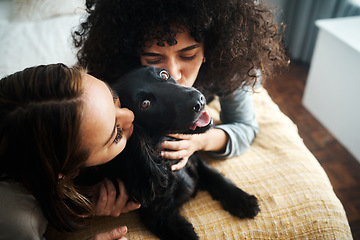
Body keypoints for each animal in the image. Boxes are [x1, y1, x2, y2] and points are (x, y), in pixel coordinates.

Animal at [80, 66, 258, 240]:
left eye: (164, 75)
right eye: (145, 104)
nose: (199, 100)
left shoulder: (193, 161)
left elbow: (217, 177)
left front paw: (242, 200)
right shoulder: (159, 217)